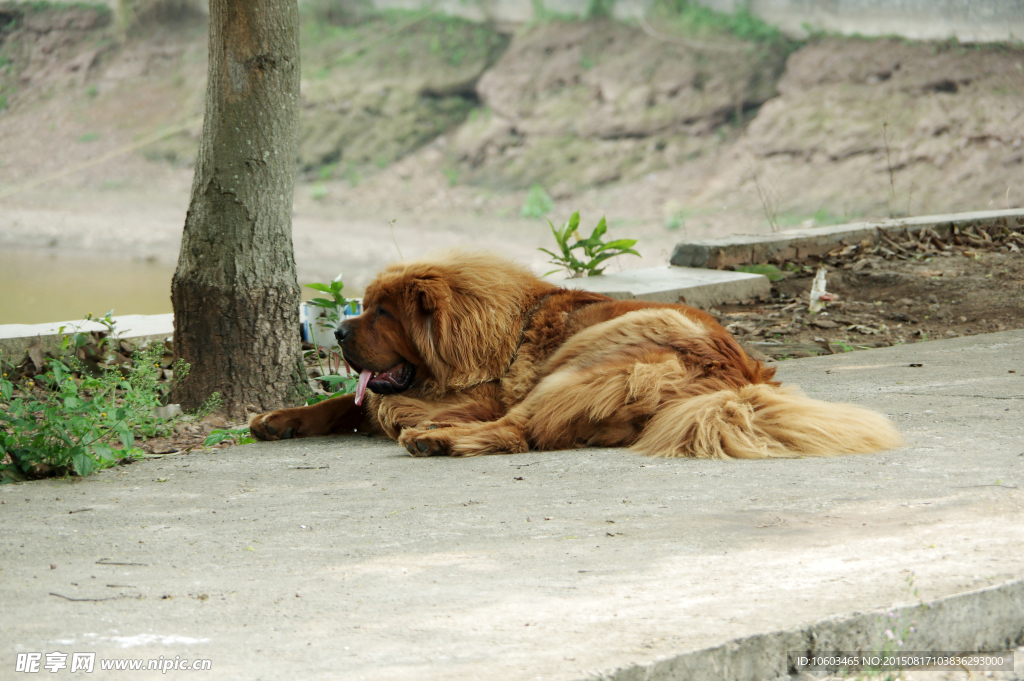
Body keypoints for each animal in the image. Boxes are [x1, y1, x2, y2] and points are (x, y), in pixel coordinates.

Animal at [249, 251, 905, 458]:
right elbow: (342, 402)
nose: (338, 334)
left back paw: (435, 439)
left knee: (518, 431)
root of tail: (736, 378)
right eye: (364, 306)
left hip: (584, 360)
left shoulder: (482, 392)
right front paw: (277, 419)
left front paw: (413, 418)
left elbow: (378, 405)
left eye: (385, 313)